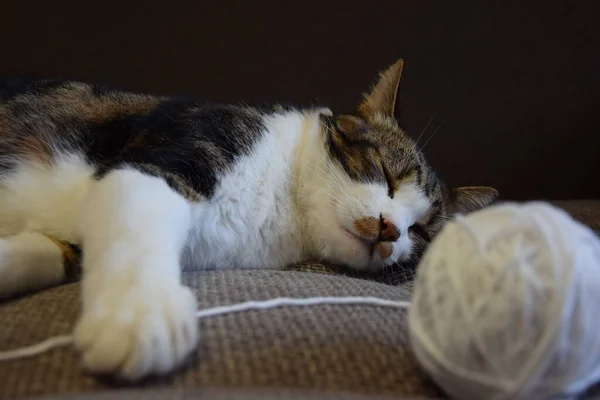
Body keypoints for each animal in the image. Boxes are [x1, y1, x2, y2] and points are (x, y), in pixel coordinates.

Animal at [0, 59, 496, 378]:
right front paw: (139, 315)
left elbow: (49, 250)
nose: (391, 229)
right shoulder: (163, 162)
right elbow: (137, 222)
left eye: (421, 231)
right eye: (387, 175)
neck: (281, 210)